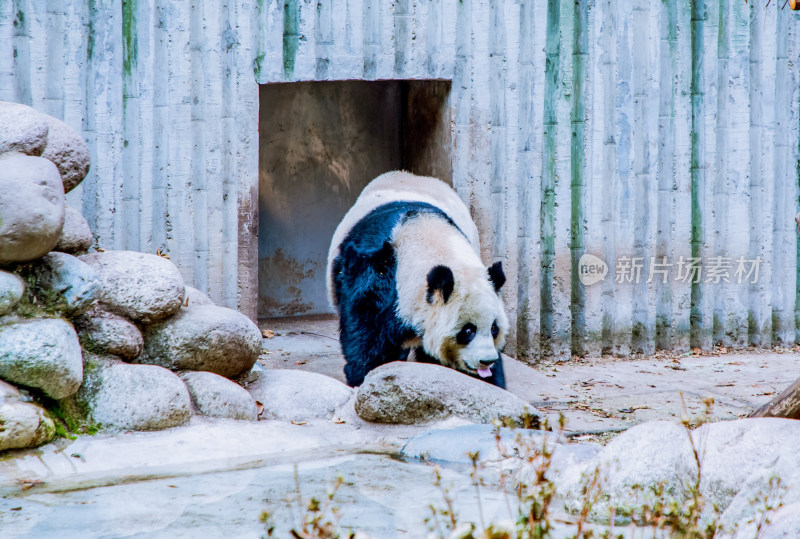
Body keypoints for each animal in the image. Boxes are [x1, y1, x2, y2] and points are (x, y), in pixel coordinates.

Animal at [328, 172, 510, 388]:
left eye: (494, 328)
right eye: (467, 331)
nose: (486, 360)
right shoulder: (373, 275)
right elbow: (366, 335)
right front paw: (365, 376)